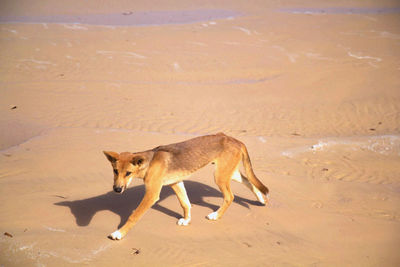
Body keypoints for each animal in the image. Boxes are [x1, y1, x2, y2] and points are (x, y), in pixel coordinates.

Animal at [104, 133, 268, 241]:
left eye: (128, 173)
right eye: (115, 171)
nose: (117, 189)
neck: (149, 163)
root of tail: (236, 140)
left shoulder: (152, 194)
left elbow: (134, 216)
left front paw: (119, 233)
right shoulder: (176, 183)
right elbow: (185, 203)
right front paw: (187, 219)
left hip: (220, 176)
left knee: (230, 196)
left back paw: (216, 215)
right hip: (228, 172)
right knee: (249, 181)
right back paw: (262, 199)